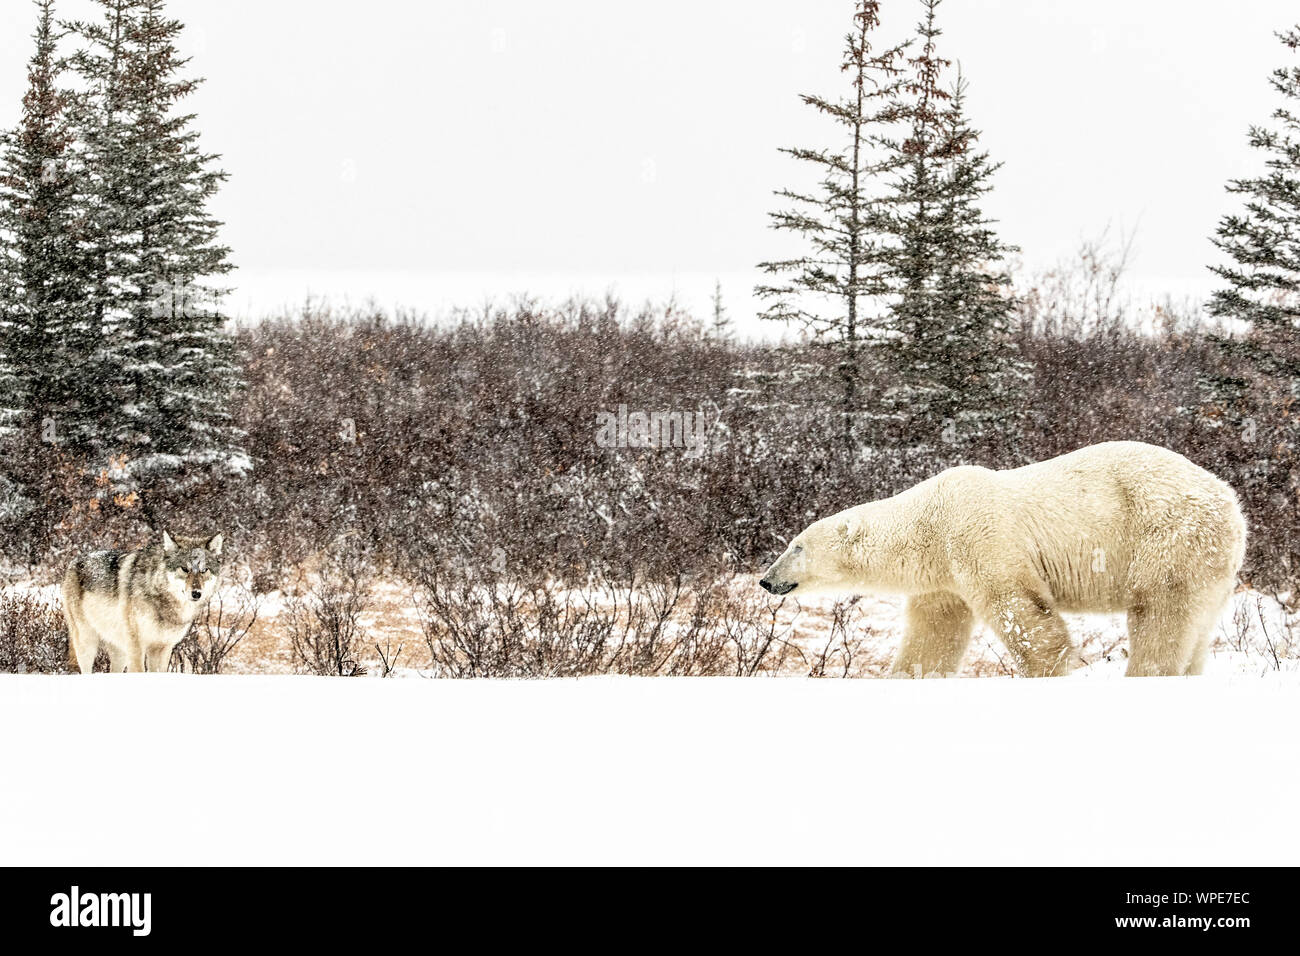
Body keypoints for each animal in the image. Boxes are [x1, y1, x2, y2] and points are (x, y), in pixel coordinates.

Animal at [62, 531, 224, 674]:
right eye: (184, 569)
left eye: (204, 570)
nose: (196, 593)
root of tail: (74, 561)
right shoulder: (137, 646)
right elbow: (139, 670)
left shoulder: (163, 648)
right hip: (87, 642)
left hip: (119, 652)